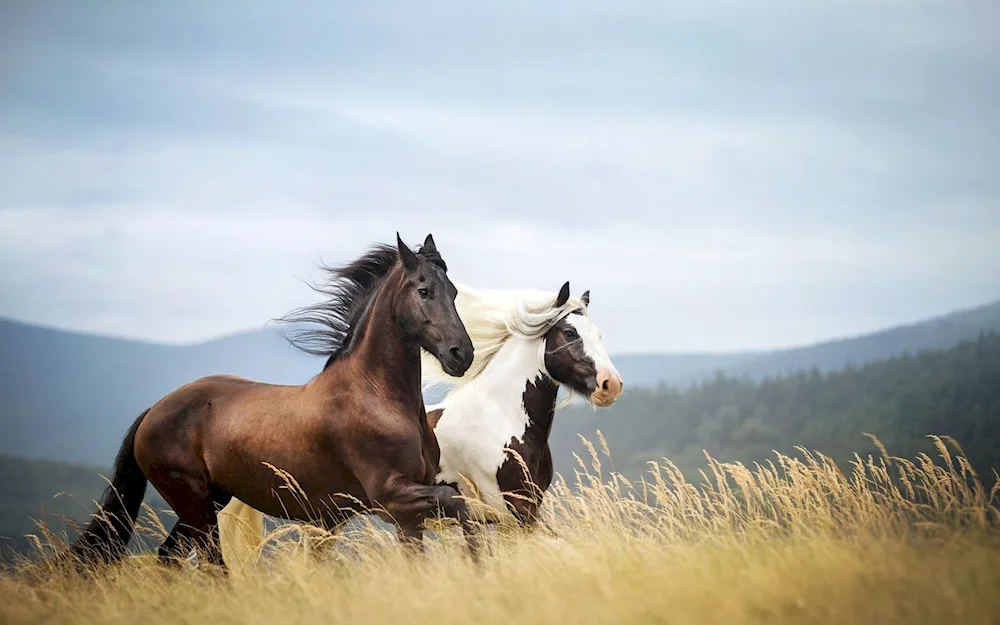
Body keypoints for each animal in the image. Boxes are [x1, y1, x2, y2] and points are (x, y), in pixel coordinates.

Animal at [70, 233, 476, 564]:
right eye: (424, 291)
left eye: (454, 292)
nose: (462, 355)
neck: (378, 396)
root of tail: (154, 410)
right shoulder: (390, 498)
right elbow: (455, 502)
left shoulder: (407, 512)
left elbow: (460, 511)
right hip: (194, 503)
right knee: (211, 563)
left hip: (208, 502)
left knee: (168, 558)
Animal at [220, 280, 620, 564]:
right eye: (570, 333)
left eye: (600, 335)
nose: (610, 385)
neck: (500, 419)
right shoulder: (512, 512)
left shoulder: (522, 513)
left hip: (328, 520)